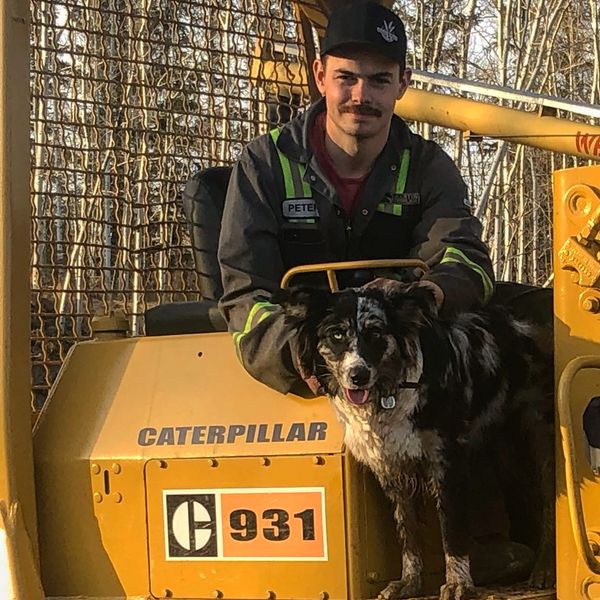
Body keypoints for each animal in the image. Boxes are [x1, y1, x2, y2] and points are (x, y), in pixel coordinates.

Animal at [276, 284, 552, 600]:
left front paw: (458, 583)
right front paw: (409, 582)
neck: (391, 392)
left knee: (550, 501)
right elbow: (407, 532)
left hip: (541, 437)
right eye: (336, 334)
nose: (358, 375)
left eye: (375, 332)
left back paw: (545, 569)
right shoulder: (390, 468)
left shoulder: (446, 463)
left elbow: (451, 531)